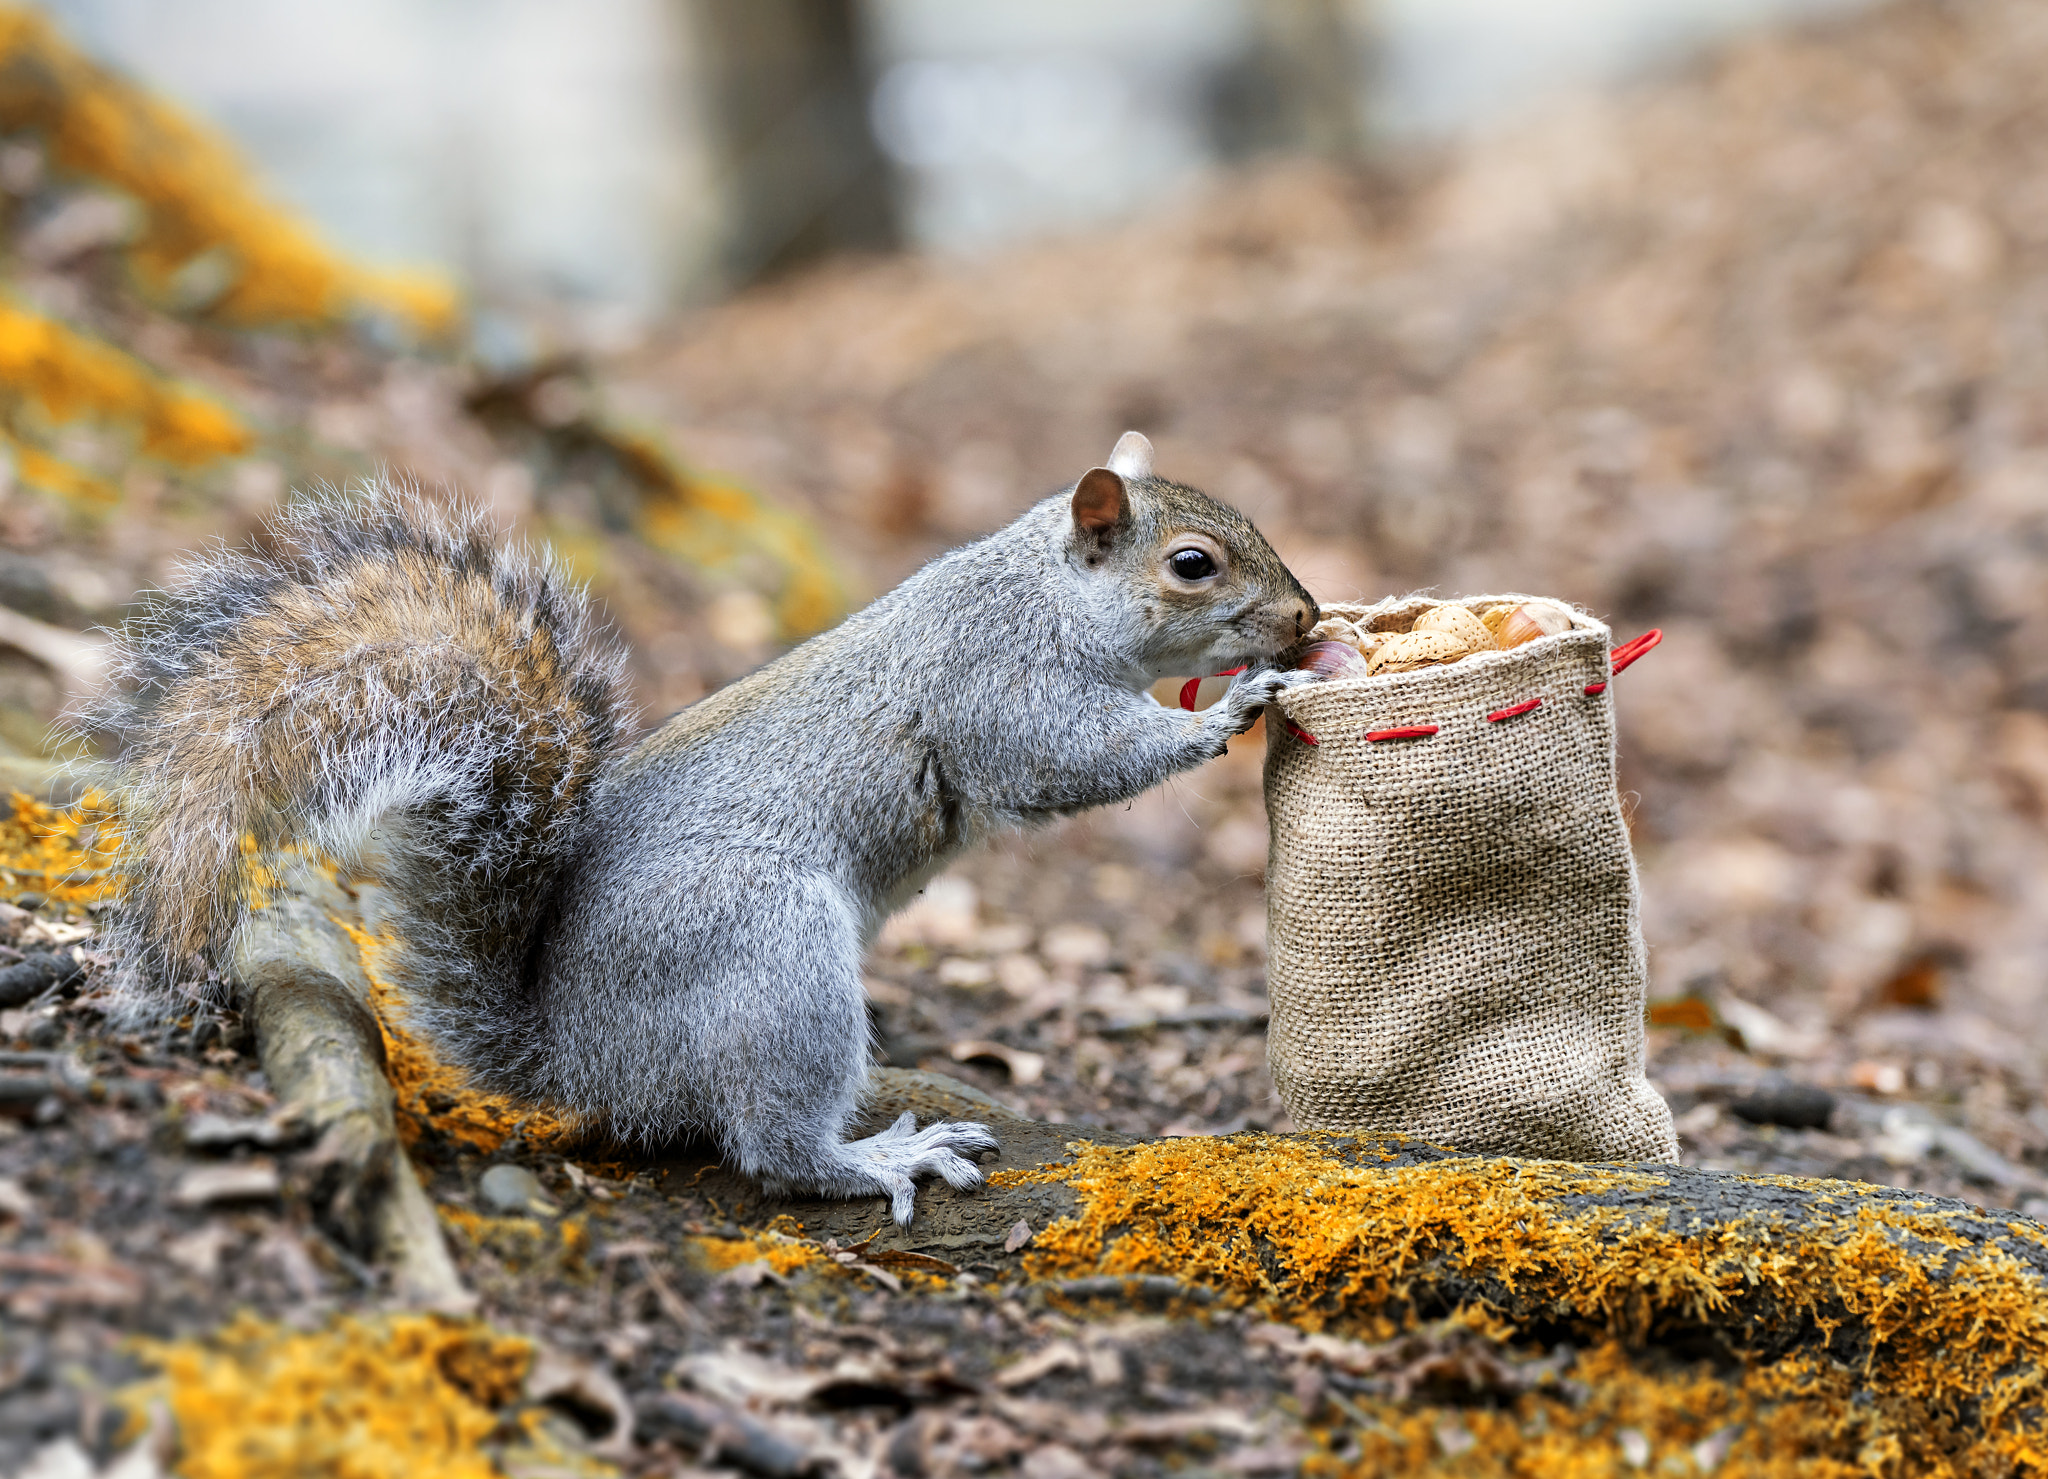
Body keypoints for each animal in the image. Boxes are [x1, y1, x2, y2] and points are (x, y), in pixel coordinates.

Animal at [88, 432, 1318, 1212]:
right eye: (1193, 564)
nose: (1305, 618)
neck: (1044, 591)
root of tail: (577, 1057)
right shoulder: (999, 686)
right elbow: (1071, 759)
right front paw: (1230, 712)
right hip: (768, 949)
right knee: (771, 1149)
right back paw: (885, 1160)